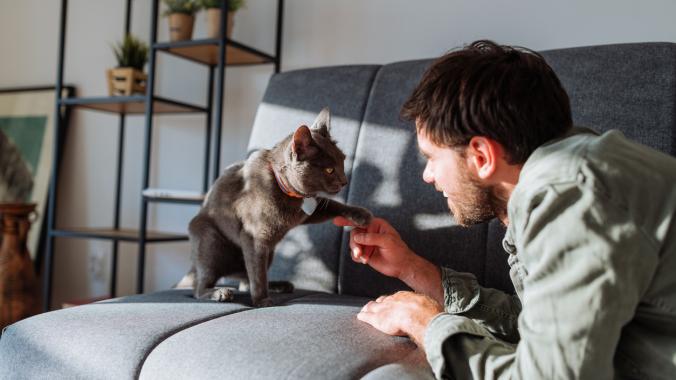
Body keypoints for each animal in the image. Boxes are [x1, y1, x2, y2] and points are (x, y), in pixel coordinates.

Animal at [185, 106, 372, 306]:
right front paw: (262, 301)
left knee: (246, 280)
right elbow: (258, 273)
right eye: (329, 170)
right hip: (211, 242)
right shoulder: (254, 237)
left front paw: (361, 215)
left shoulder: (310, 210)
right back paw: (220, 292)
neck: (290, 194)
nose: (345, 182)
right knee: (201, 287)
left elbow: (334, 205)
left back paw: (278, 285)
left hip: (270, 252)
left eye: (343, 161)